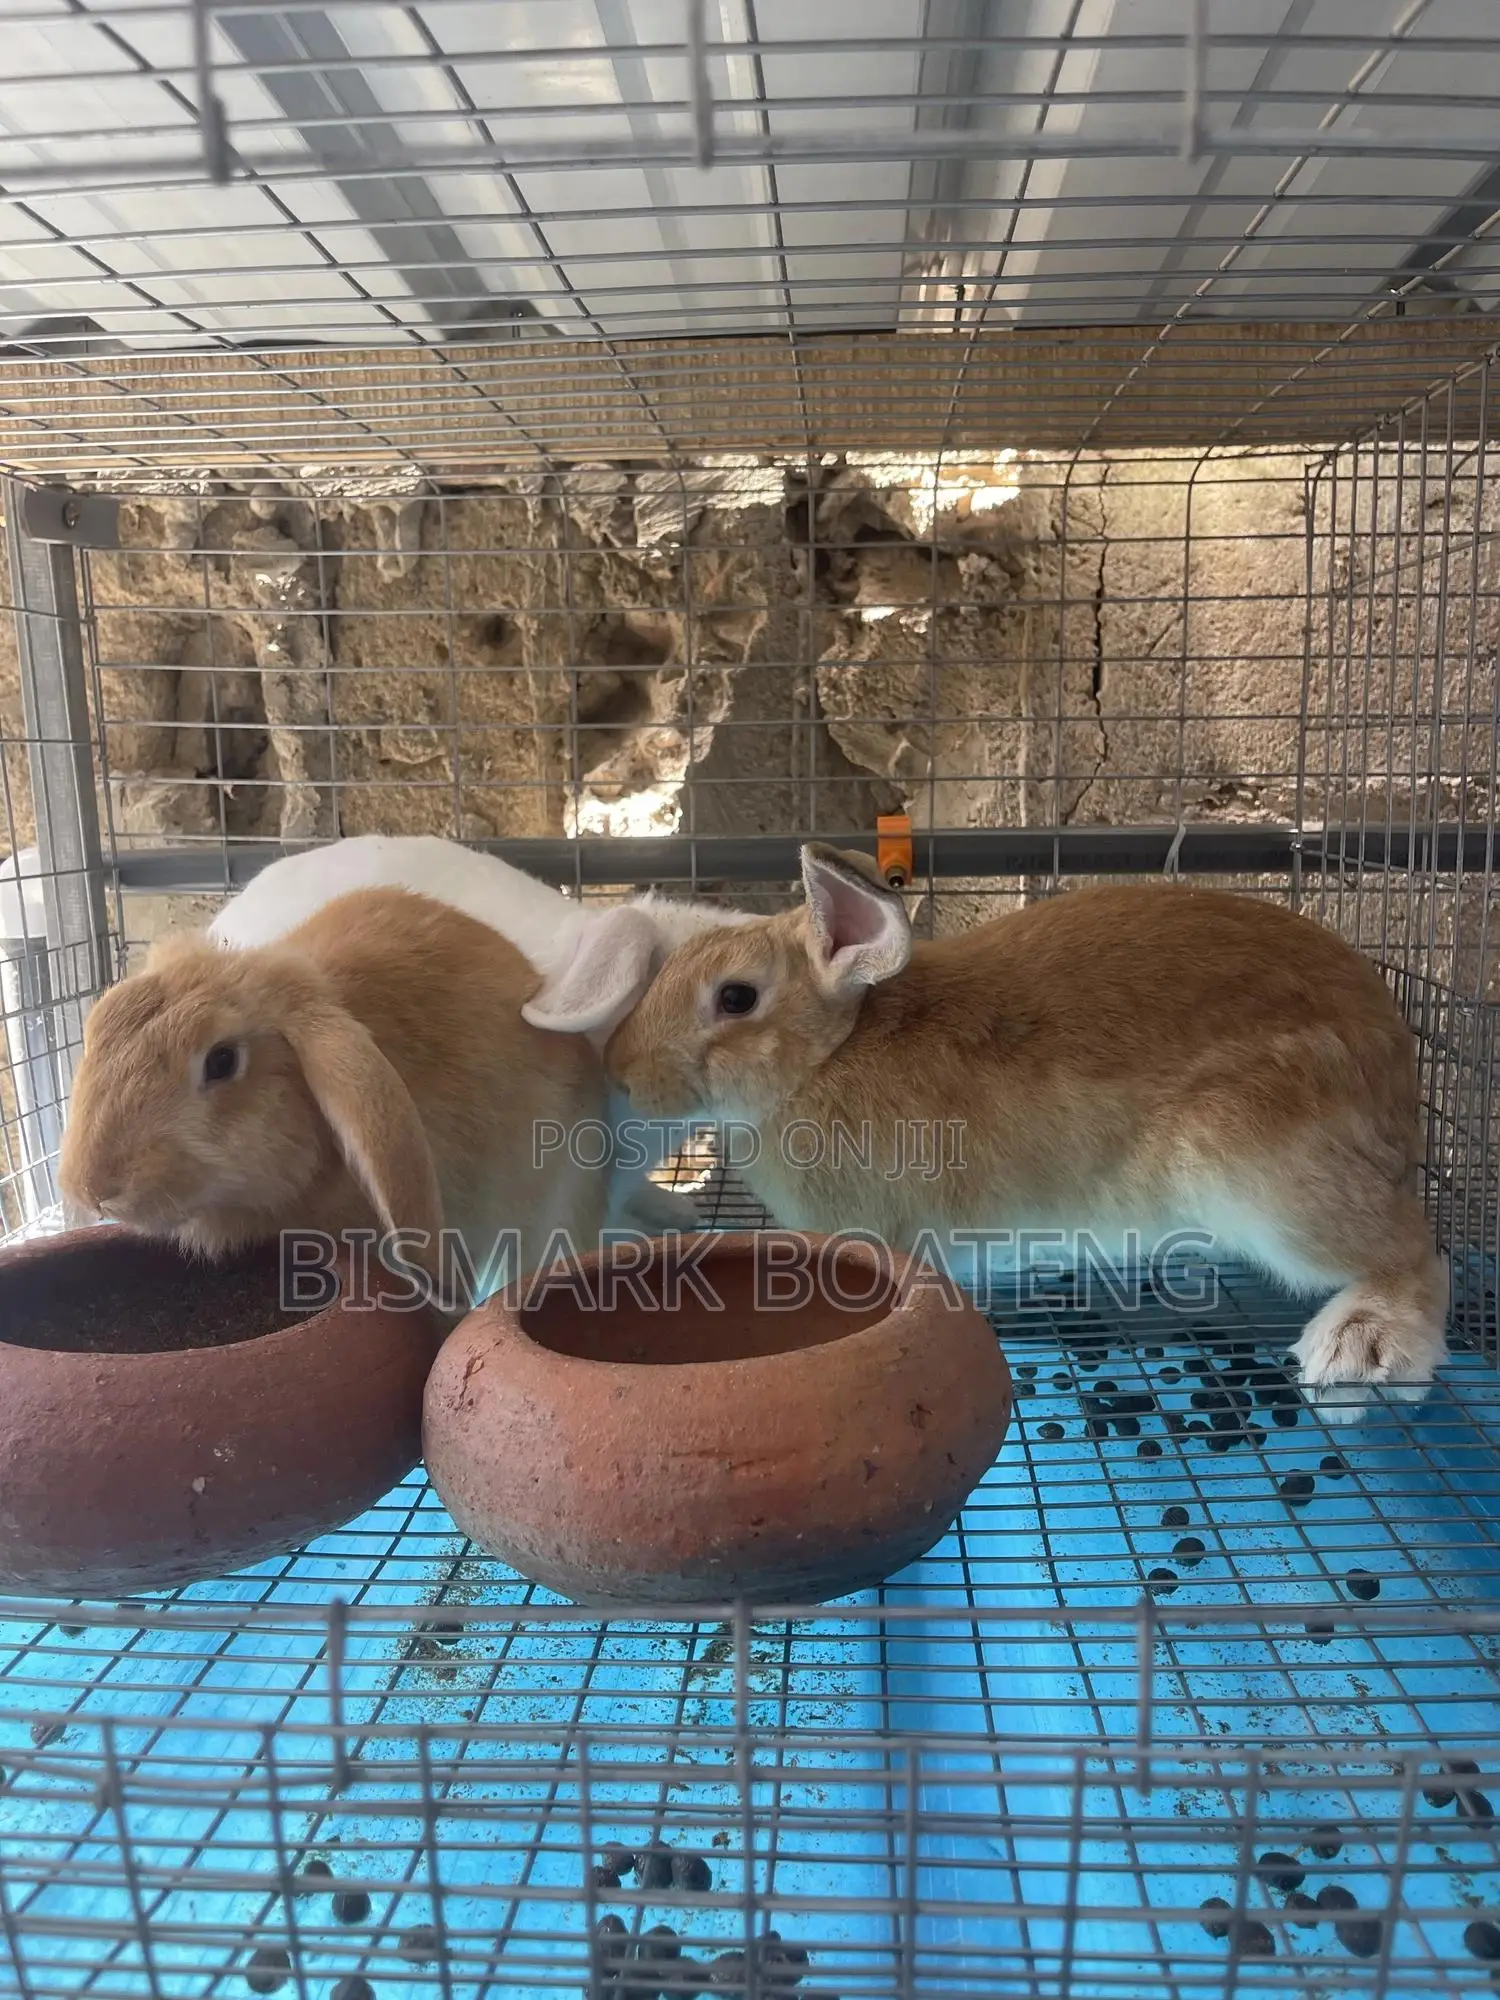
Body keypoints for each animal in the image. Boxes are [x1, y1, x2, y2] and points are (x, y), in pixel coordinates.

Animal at [598, 842, 1449, 1421]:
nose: (623, 1070)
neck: (827, 1055)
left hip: (1254, 1168)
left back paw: (1358, 1353)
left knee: (1416, 1254)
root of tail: (1401, 1101)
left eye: (735, 998)